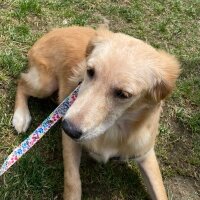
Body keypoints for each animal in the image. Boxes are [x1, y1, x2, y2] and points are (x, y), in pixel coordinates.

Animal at [13, 25, 180, 199]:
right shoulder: (70, 141)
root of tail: (53, 32)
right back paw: (21, 117)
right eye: (90, 71)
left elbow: (160, 191)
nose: (68, 128)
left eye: (124, 94)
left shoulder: (145, 154)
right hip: (45, 84)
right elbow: (73, 181)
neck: (114, 130)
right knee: (21, 82)